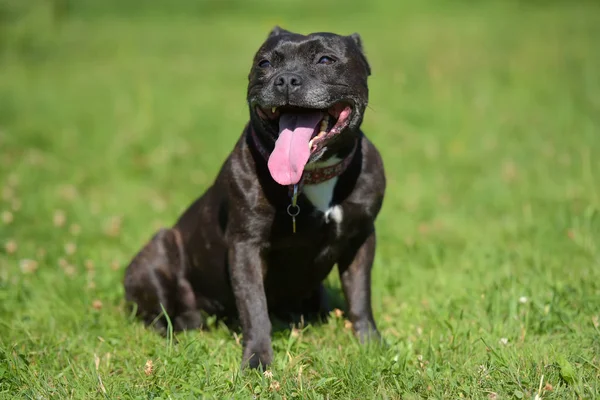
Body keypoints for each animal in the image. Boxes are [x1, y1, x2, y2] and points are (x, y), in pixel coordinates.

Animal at [124, 25, 386, 368]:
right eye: (264, 64)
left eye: (326, 60)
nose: (286, 79)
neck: (312, 175)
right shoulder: (245, 247)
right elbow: (254, 306)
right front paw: (257, 360)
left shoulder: (360, 238)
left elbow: (360, 295)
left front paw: (371, 344)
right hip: (157, 253)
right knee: (158, 316)